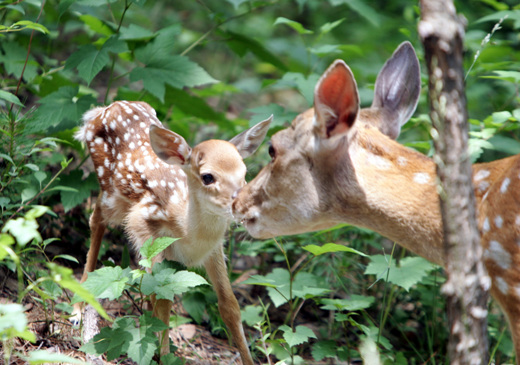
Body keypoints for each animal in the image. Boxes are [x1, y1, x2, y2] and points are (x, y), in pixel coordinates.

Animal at [76, 100, 272, 364]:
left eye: (244, 174)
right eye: (207, 177)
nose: (242, 205)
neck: (188, 235)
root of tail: (103, 109)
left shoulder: (213, 250)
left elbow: (229, 305)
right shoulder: (144, 227)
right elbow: (161, 299)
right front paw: (164, 354)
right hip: (109, 189)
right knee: (96, 219)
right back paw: (79, 306)